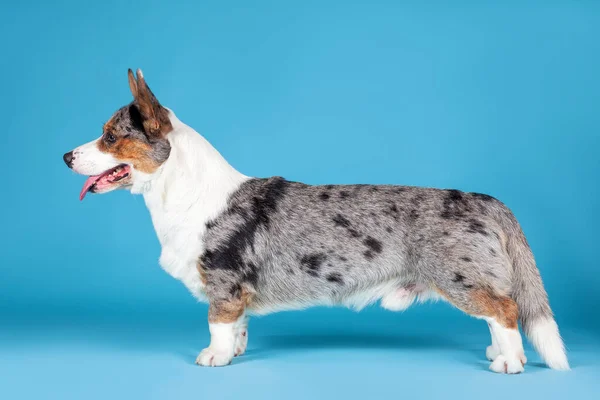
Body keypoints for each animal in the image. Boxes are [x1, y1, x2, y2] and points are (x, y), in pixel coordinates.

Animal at [63, 70, 568, 374]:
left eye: (109, 136)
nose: (66, 156)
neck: (183, 193)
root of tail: (487, 201)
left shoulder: (225, 283)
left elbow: (217, 324)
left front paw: (214, 357)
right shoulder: (239, 294)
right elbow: (239, 326)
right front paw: (237, 350)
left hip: (460, 278)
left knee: (505, 311)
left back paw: (510, 362)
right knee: (498, 315)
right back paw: (498, 352)